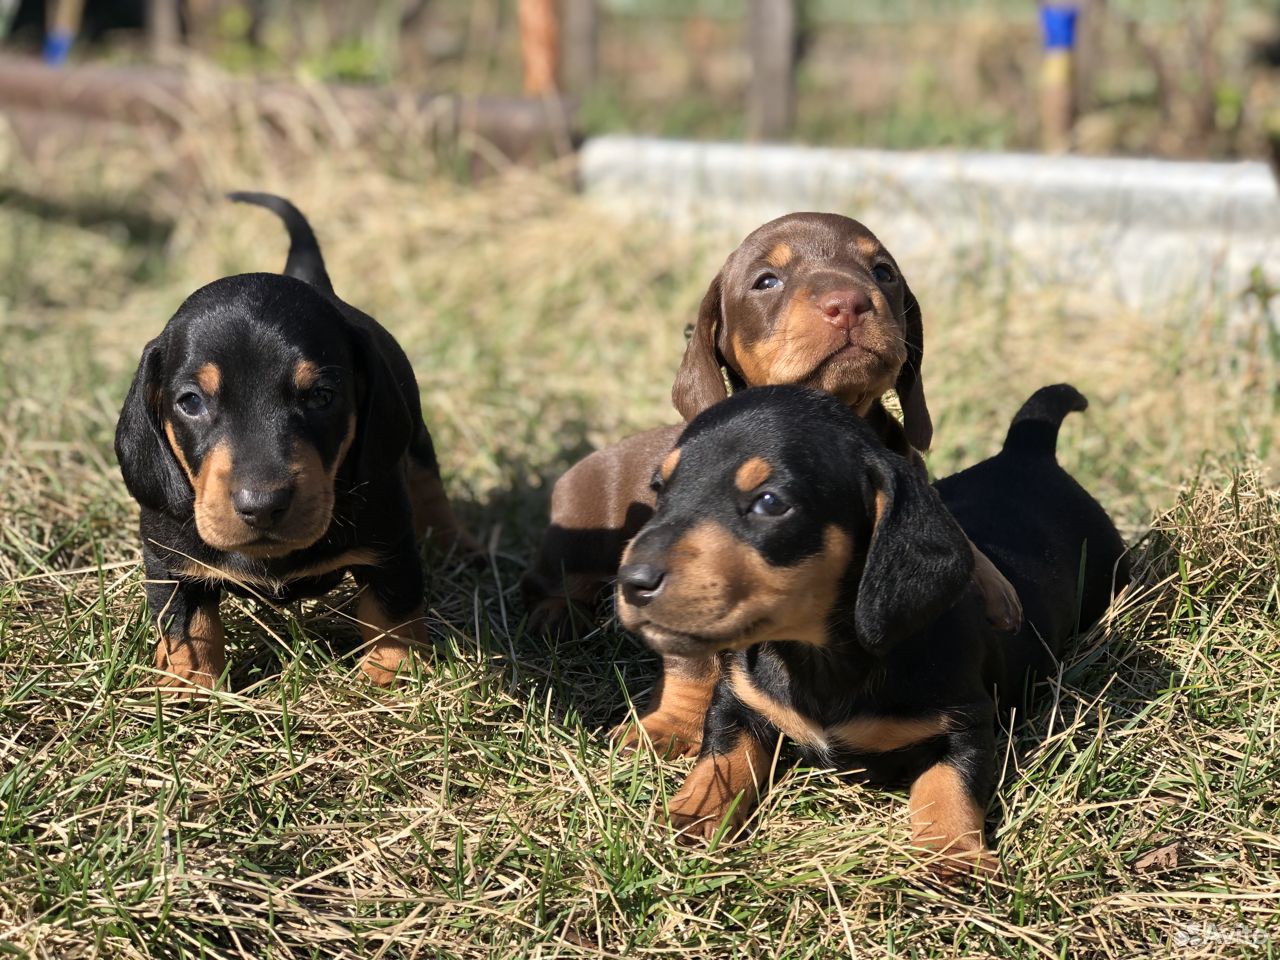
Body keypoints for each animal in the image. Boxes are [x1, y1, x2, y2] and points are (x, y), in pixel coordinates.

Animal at [113, 193, 476, 691]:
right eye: (190, 402)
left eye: (322, 396)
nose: (262, 506)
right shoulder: (168, 559)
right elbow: (187, 624)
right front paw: (190, 686)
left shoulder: (390, 541)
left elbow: (393, 610)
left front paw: (391, 677)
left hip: (413, 434)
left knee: (427, 480)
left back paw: (456, 545)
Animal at [614, 386, 1126, 880]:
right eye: (660, 490)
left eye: (770, 502)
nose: (631, 583)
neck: (816, 656)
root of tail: (1026, 452)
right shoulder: (736, 699)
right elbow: (721, 757)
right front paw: (692, 814)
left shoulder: (967, 722)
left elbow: (949, 785)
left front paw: (950, 853)